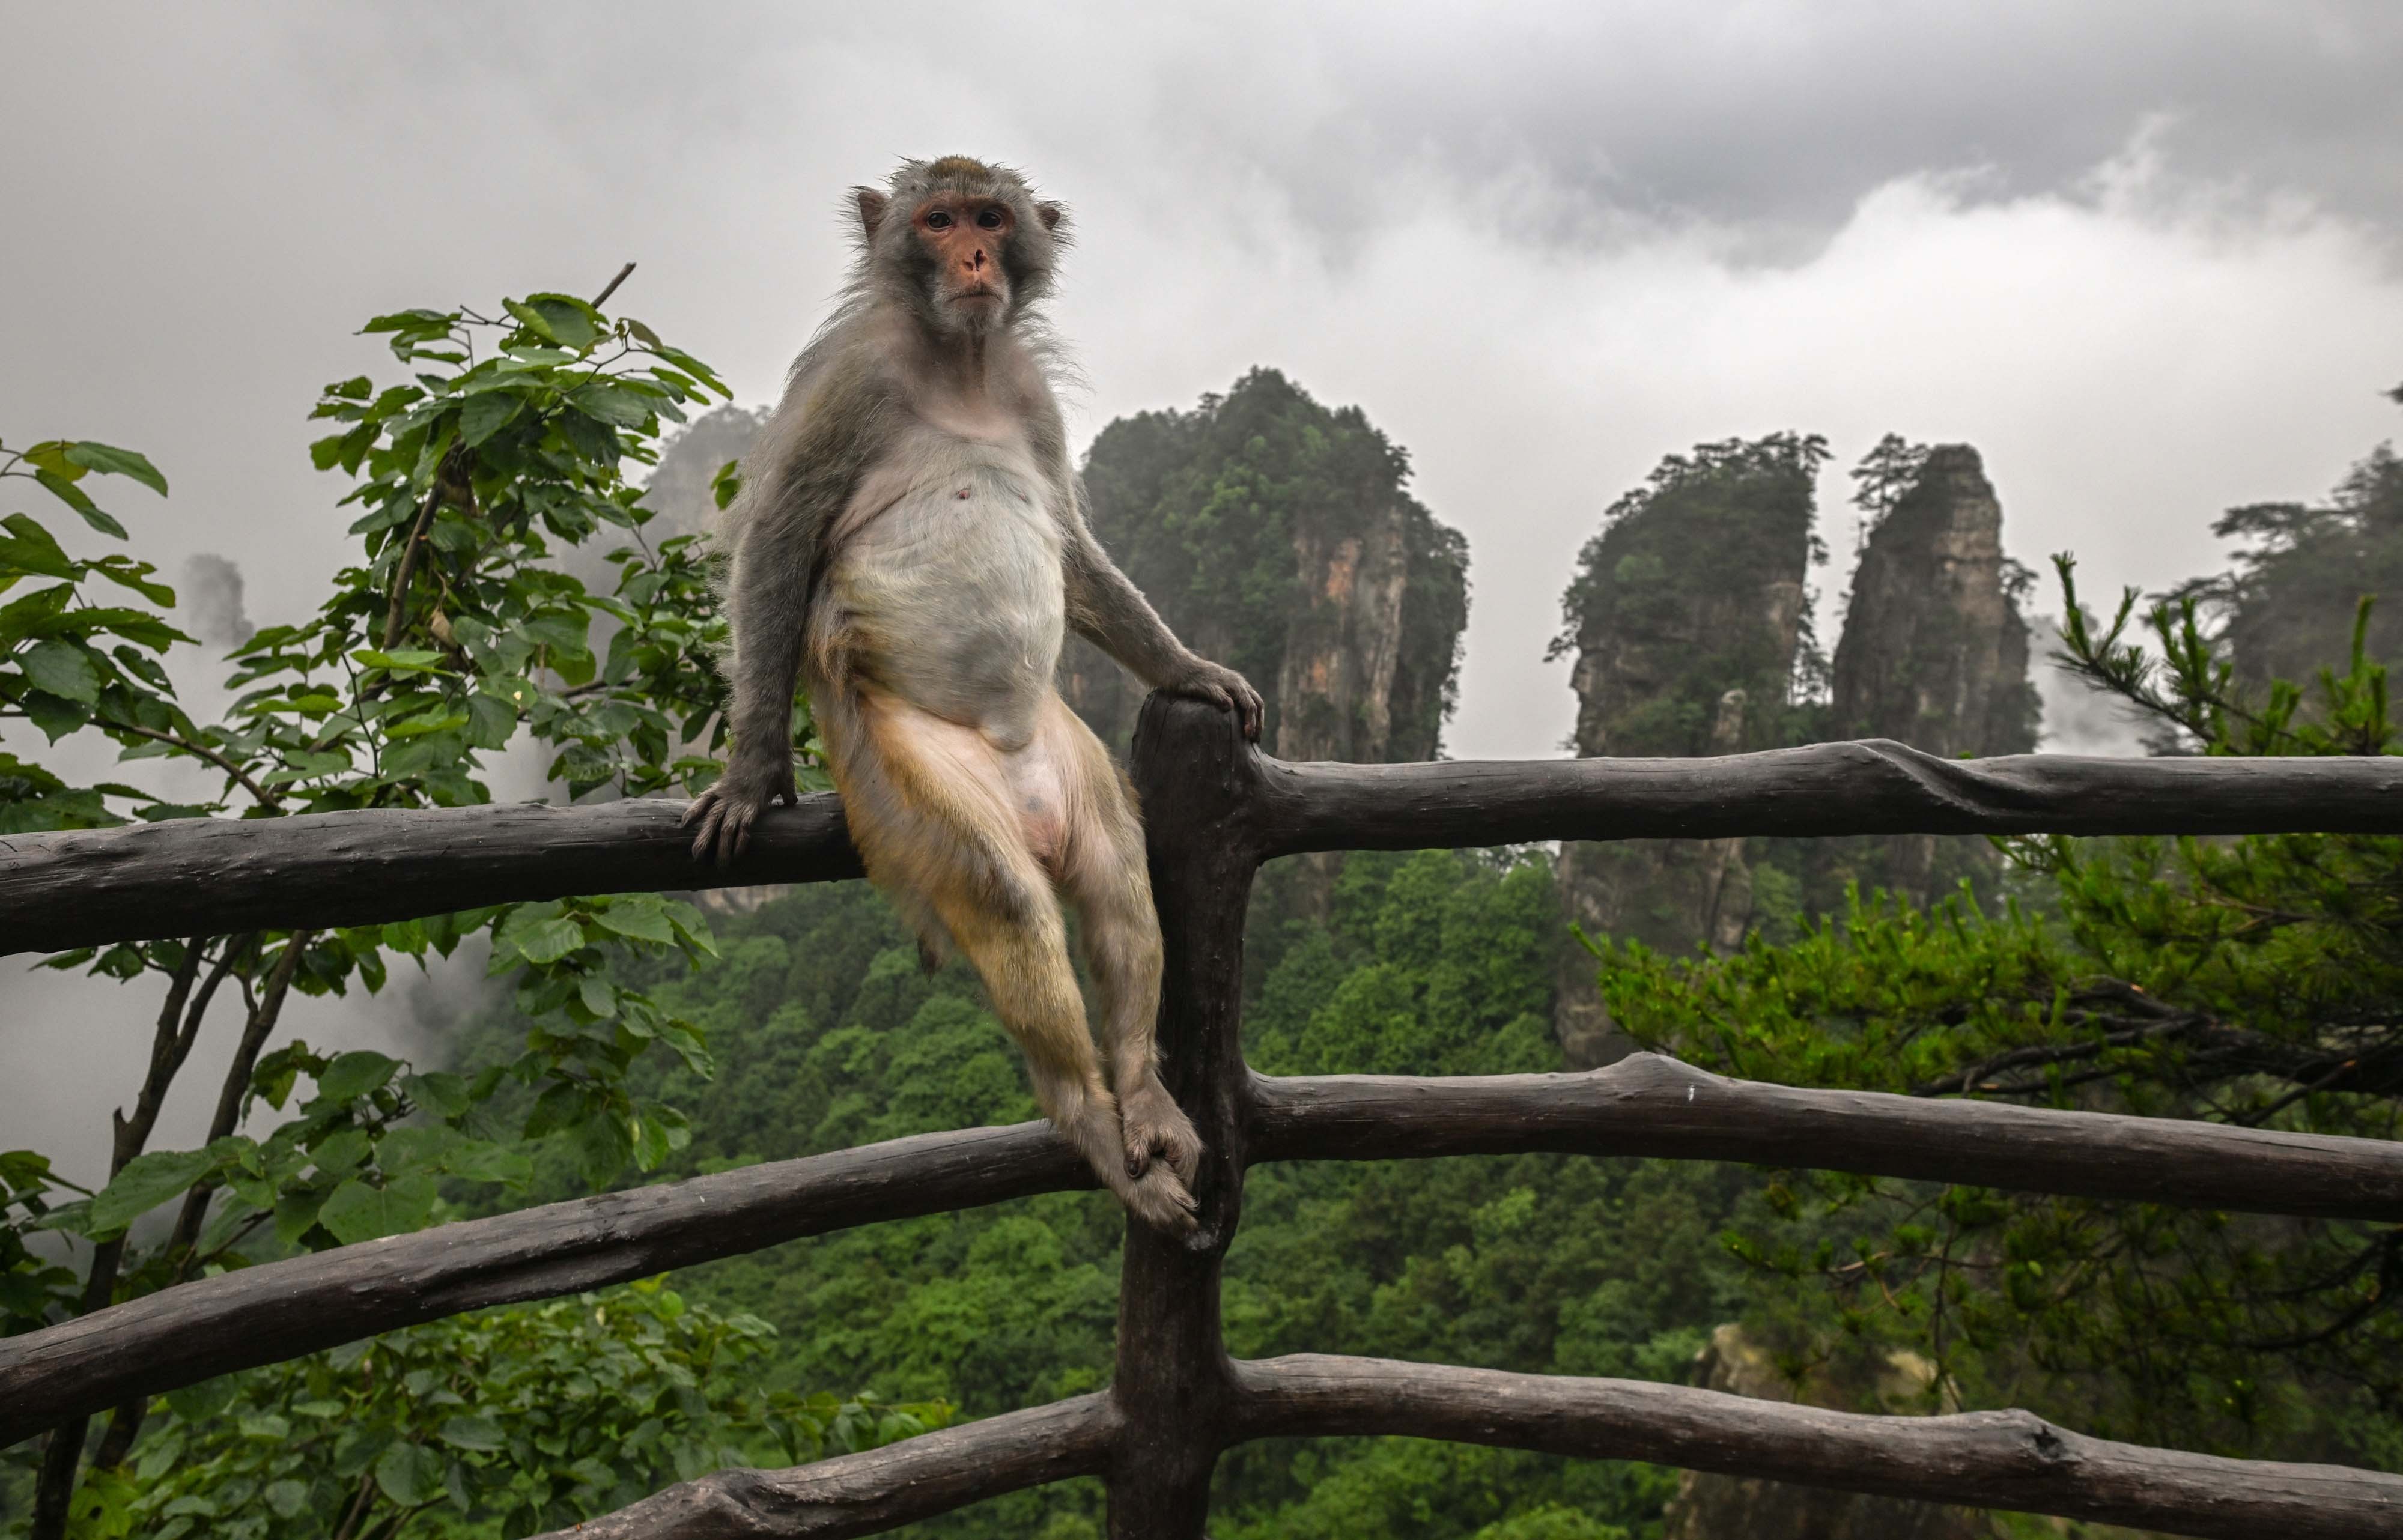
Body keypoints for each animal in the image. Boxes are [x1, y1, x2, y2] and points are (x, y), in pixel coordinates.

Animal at [683, 157, 1263, 1232]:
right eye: (940, 221)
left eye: (992, 217)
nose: (976, 259)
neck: (959, 361)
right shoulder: (851, 383)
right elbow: (780, 536)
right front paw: (751, 768)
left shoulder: (1031, 399)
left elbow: (1070, 547)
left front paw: (1188, 668)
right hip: (908, 773)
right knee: (1003, 892)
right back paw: (1091, 1119)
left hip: (1067, 756)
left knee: (1118, 874)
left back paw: (1142, 1091)